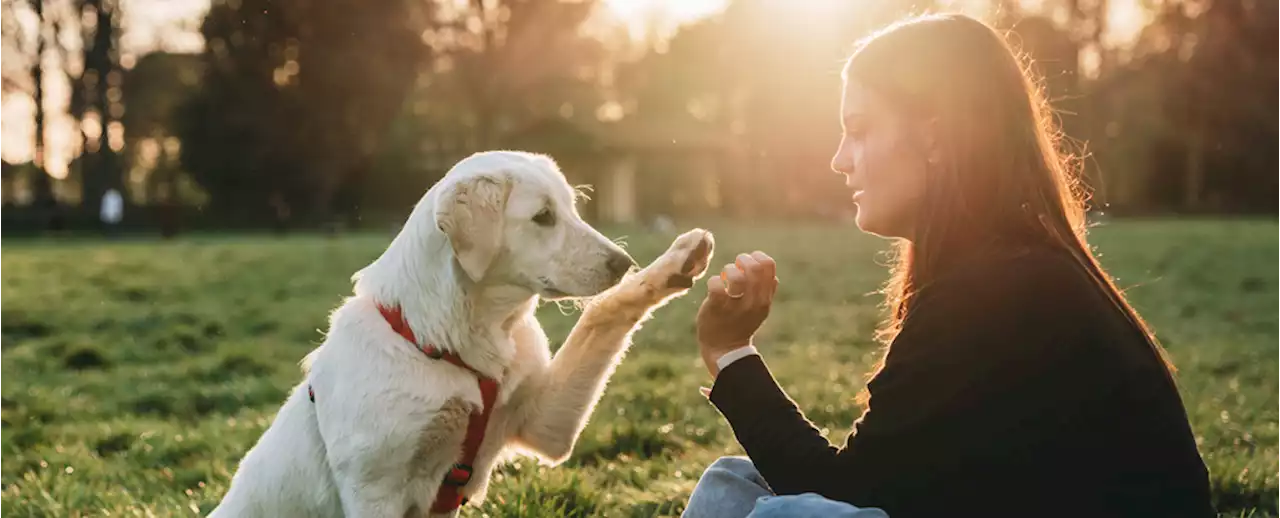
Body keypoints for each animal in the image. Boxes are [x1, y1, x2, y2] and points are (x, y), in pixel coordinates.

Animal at [208, 150, 711, 516]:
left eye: (570, 209)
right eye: (543, 216)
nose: (621, 262)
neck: (453, 345)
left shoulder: (544, 423)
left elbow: (603, 313)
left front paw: (671, 265)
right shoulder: (374, 490)